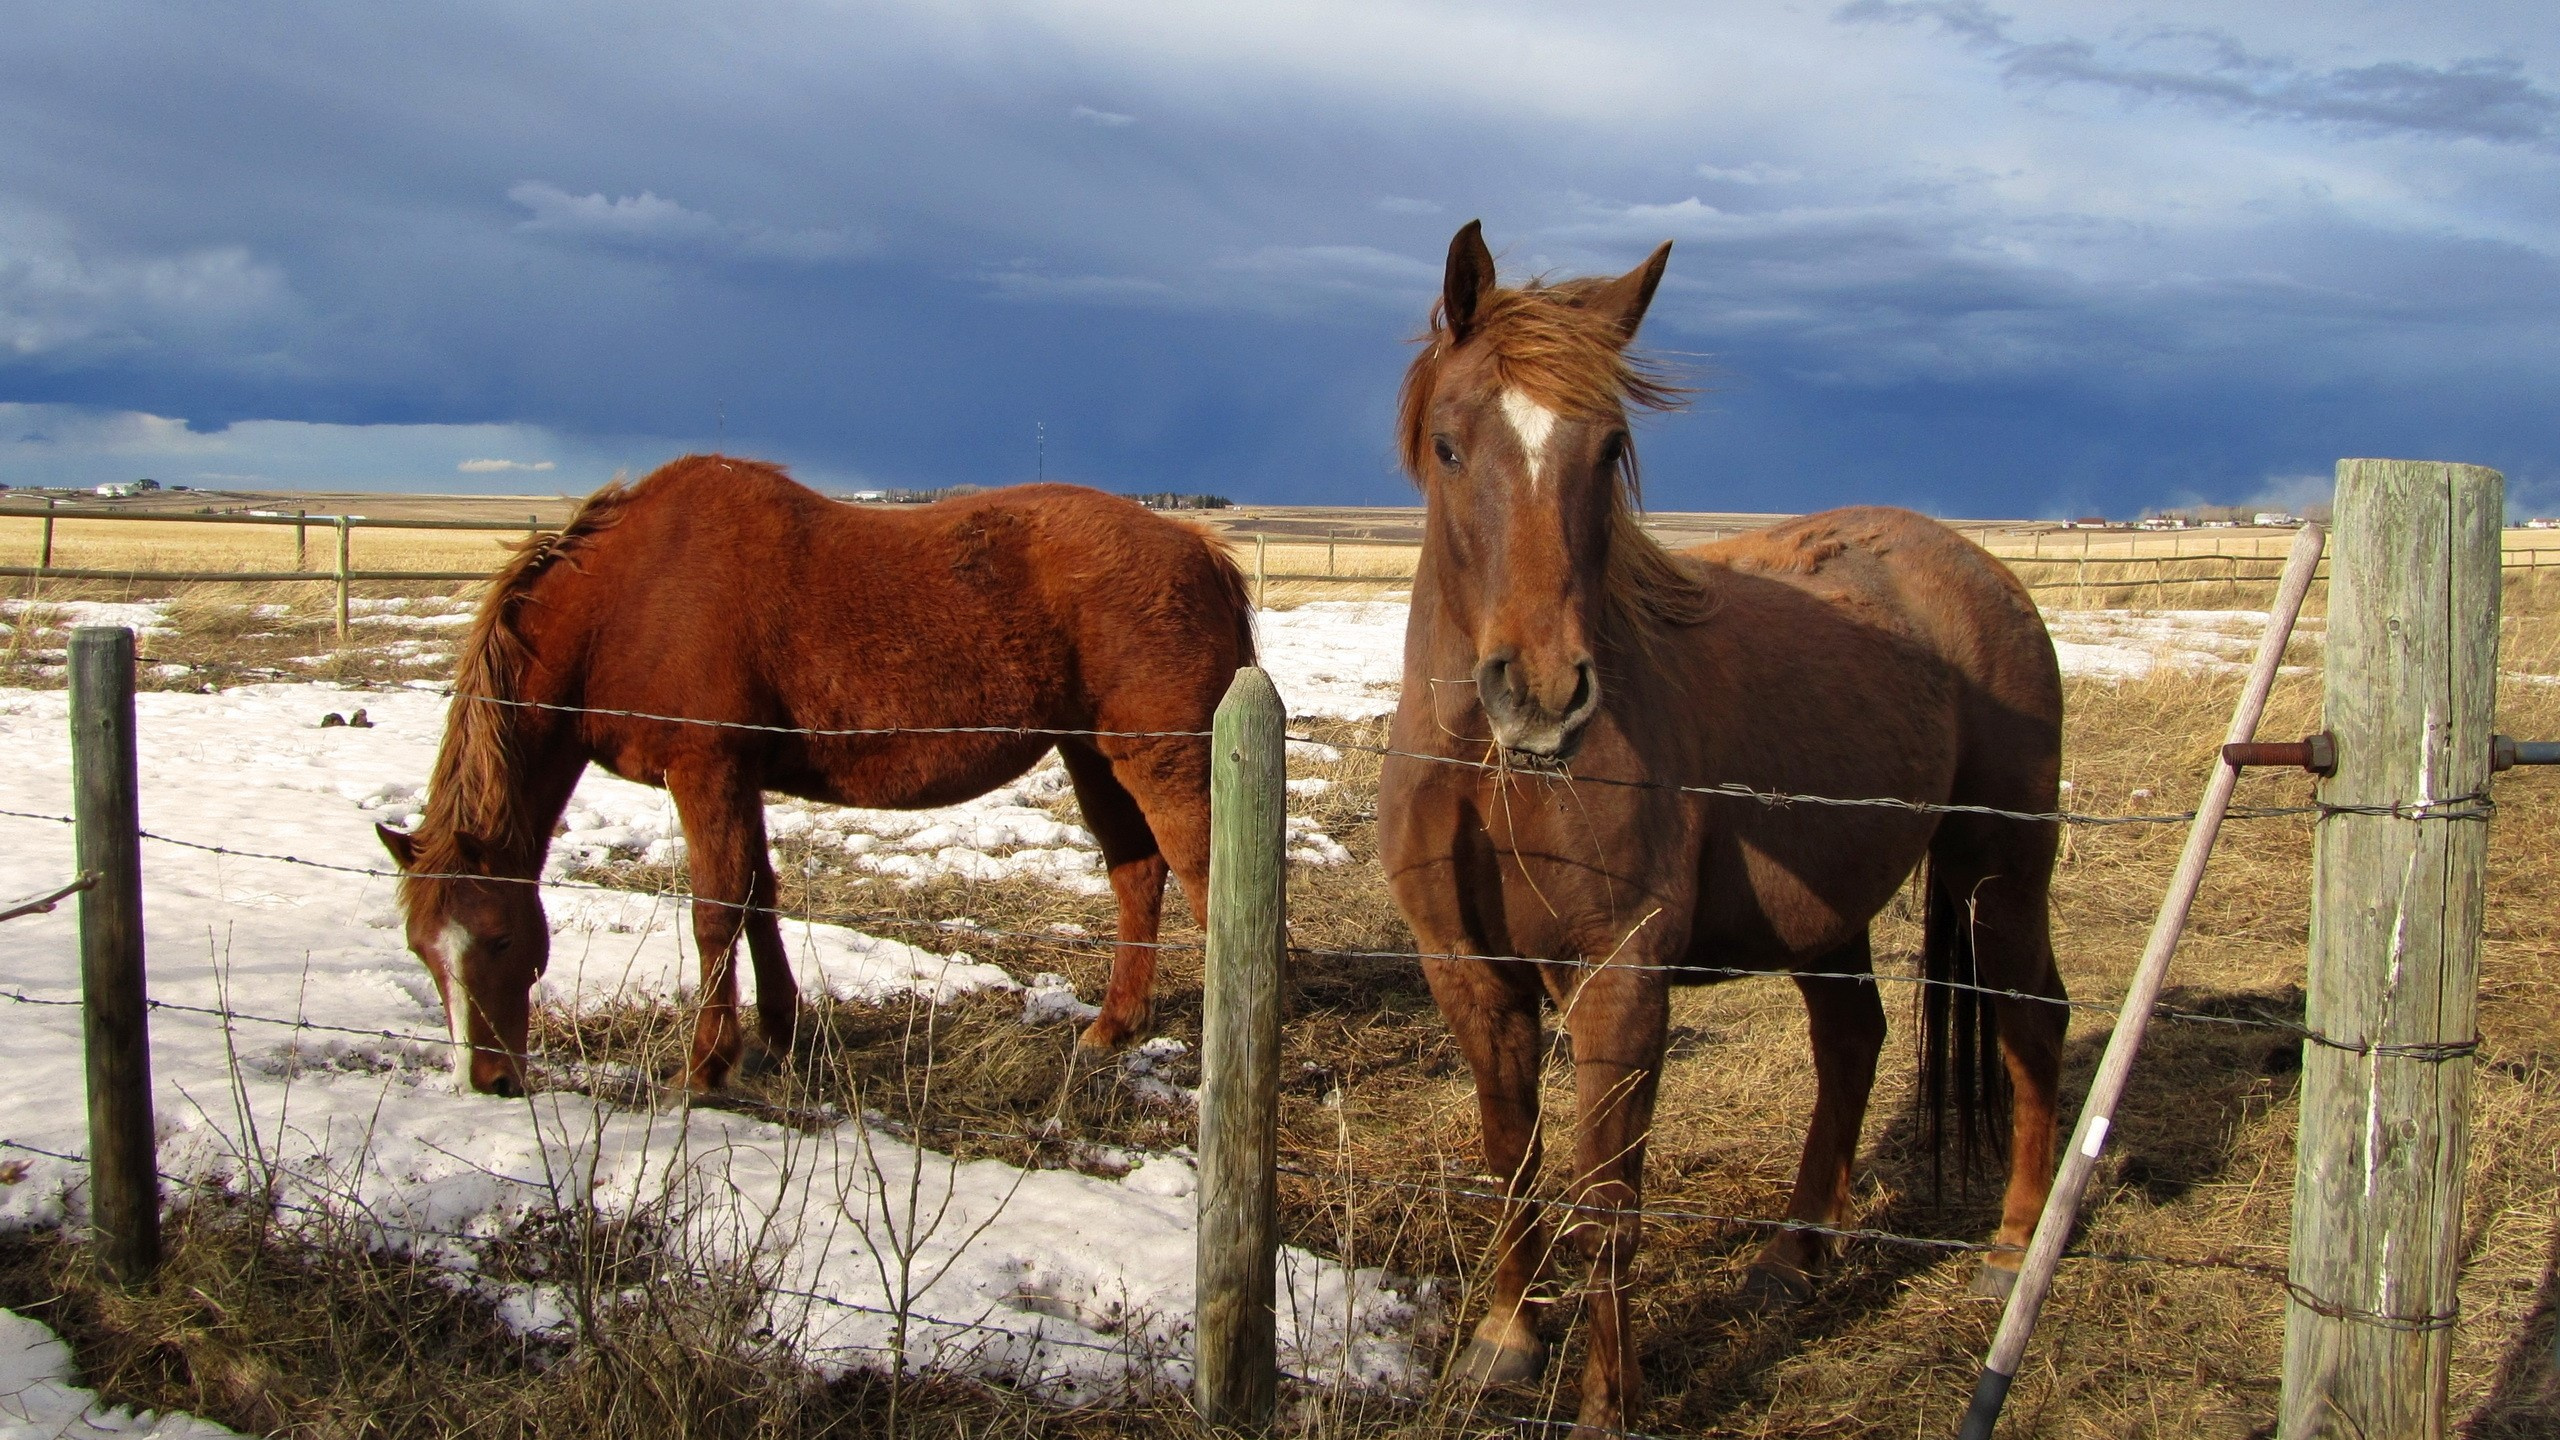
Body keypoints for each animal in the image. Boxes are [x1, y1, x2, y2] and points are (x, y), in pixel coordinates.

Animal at [378, 453, 1249, 1091]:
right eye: (422, 951)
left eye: (496, 939)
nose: (486, 1081)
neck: (628, 595)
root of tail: (1197, 549)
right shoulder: (742, 780)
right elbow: (759, 897)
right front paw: (780, 1031)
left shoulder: (707, 771)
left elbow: (716, 911)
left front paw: (706, 1067)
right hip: (1092, 754)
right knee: (1137, 875)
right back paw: (1111, 1028)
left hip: (1162, 763)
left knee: (1207, 882)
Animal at [1372, 224, 2068, 1424]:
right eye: (1453, 446)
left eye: (1608, 449)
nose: (1543, 694)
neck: (1486, 767)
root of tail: (1980, 571)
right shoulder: (1465, 968)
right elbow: (1512, 1155)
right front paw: (1507, 1337)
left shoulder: (1619, 976)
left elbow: (1610, 1195)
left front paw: (1608, 1406)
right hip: (1832, 915)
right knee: (1853, 1041)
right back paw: (1793, 1256)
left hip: (1999, 878)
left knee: (2034, 1023)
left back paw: (2012, 1250)